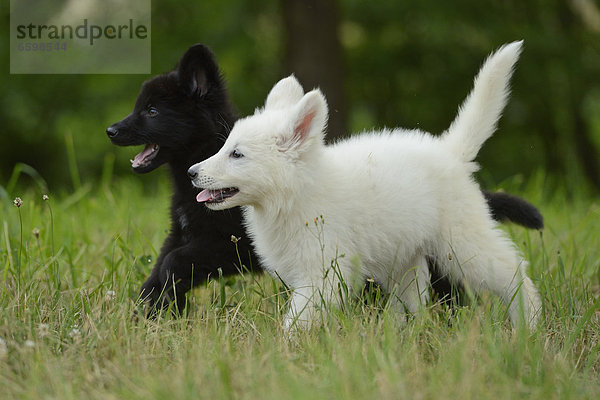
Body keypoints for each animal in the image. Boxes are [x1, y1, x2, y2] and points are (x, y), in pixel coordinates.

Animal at [106, 45, 544, 314]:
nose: (194, 173)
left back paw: (529, 323)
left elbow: (298, 315)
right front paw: (149, 314)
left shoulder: (308, 265)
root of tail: (449, 152)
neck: (293, 194)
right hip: (405, 257)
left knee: (507, 274)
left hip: (460, 244)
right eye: (224, 146)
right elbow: (162, 270)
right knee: (418, 301)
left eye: (152, 111)